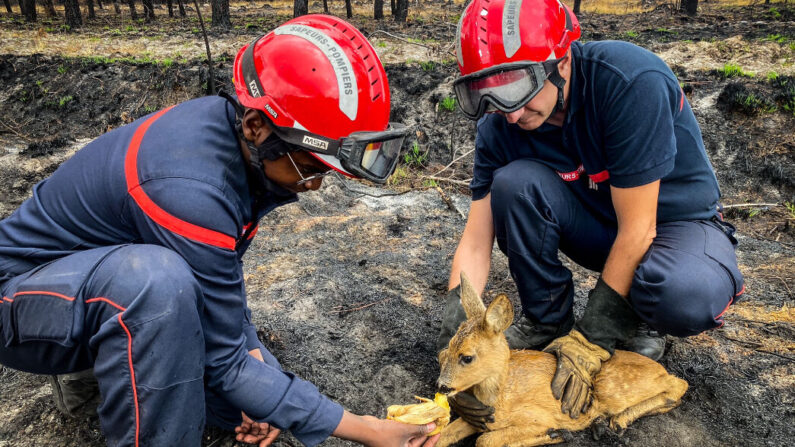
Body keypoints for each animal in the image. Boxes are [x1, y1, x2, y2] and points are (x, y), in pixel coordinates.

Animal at [436, 272, 692, 447]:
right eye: (443, 353)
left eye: (467, 357)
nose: (442, 386)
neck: (498, 398)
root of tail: (659, 368)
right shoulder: (478, 417)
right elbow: (444, 435)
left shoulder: (536, 416)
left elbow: (485, 440)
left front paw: (556, 433)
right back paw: (605, 423)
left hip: (612, 388)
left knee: (679, 384)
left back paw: (618, 420)